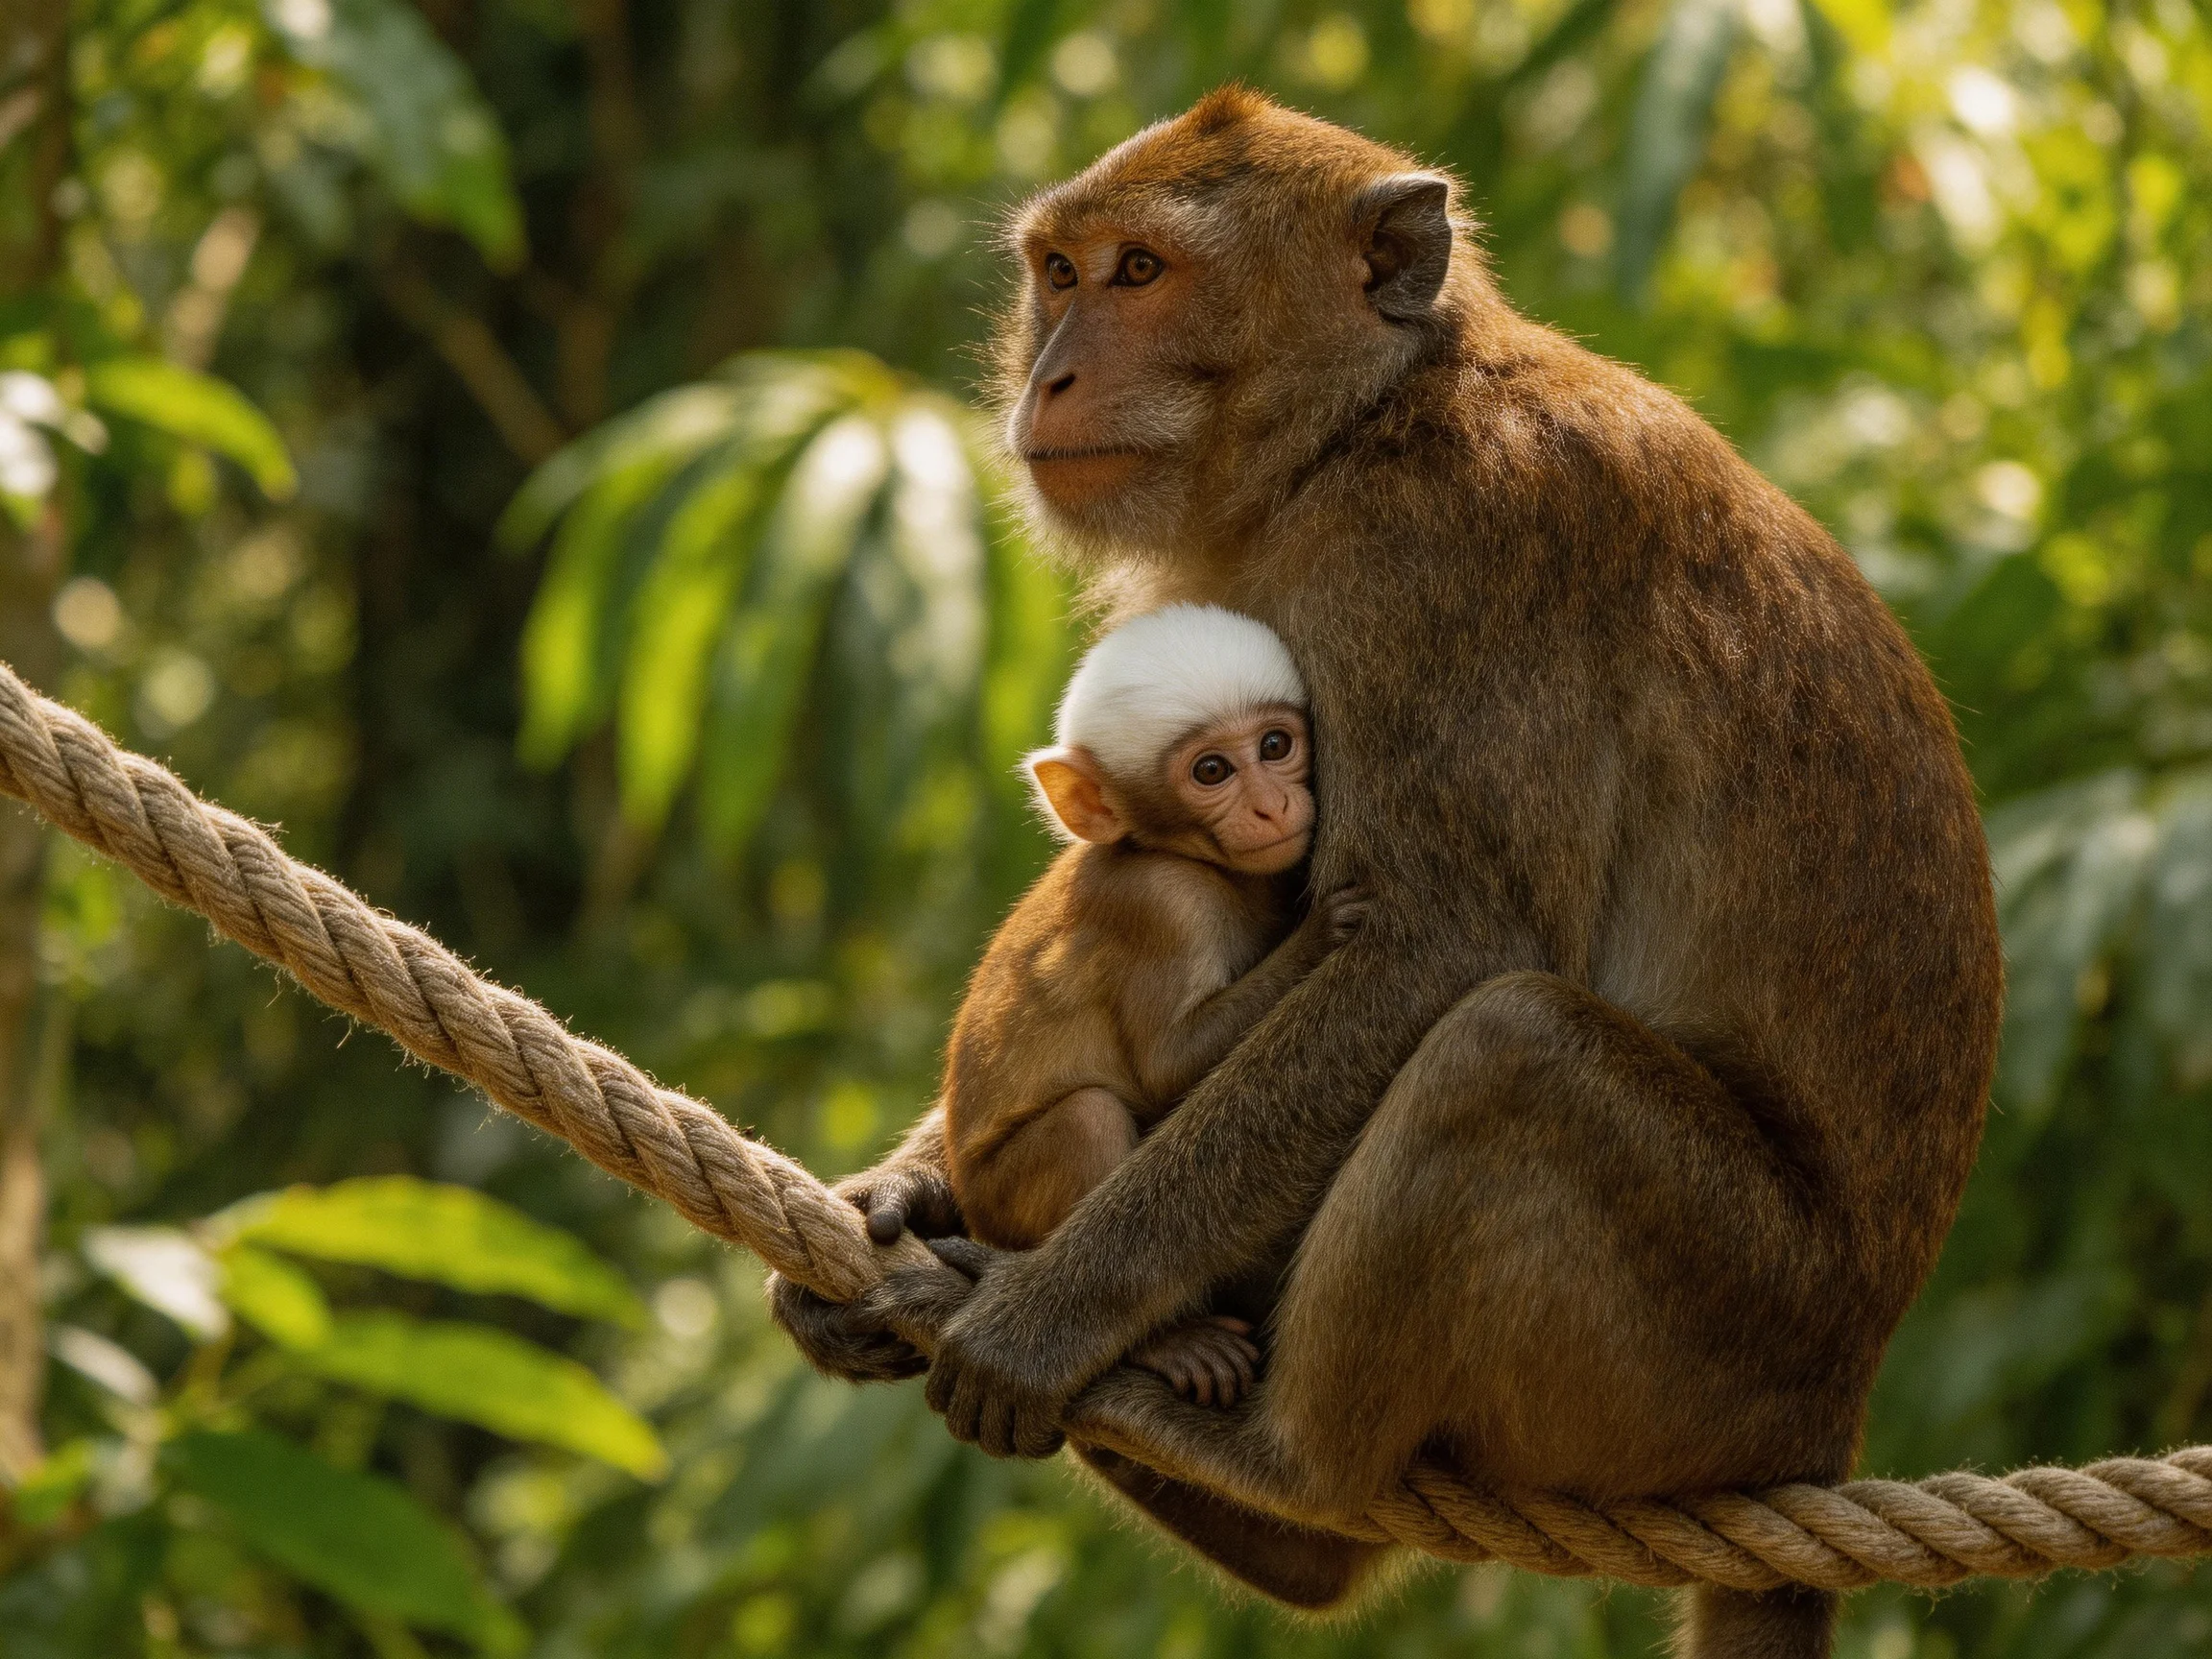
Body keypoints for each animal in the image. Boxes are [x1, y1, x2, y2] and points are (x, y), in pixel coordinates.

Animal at [936, 604, 1364, 1407]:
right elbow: (1167, 1068)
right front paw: (1317, 936)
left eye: (1276, 745)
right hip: (1001, 1202)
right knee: (1088, 1115)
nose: (1272, 804)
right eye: (1211, 771)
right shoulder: (1161, 908)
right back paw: (1167, 1342)